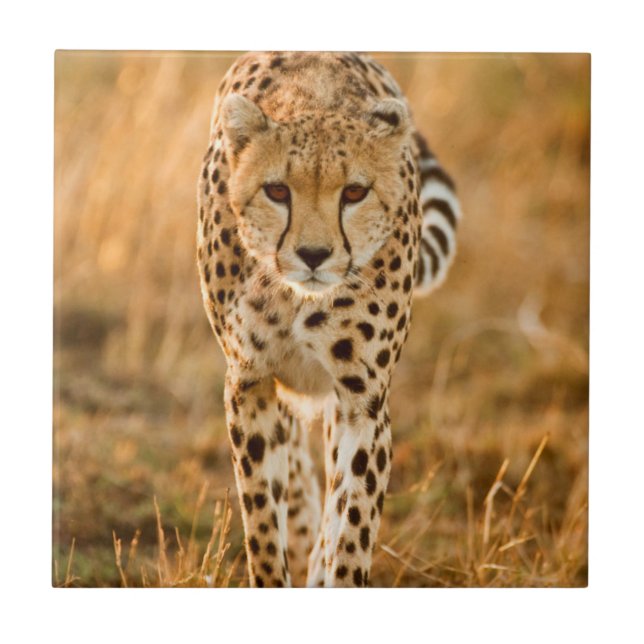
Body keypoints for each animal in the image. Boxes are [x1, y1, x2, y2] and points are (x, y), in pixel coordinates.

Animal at [196, 51, 461, 587]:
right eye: (277, 190)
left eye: (354, 192)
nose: (314, 255)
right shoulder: (248, 381)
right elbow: (262, 519)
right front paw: (278, 559)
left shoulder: (363, 401)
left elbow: (352, 523)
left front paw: (333, 569)